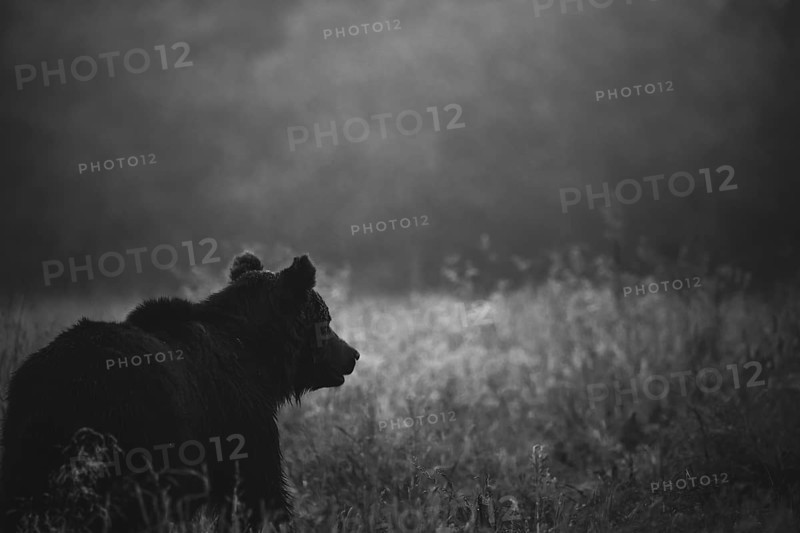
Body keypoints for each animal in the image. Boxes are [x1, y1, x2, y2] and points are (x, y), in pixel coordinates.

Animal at [0, 252, 359, 532]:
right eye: (326, 320)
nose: (352, 354)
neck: (260, 358)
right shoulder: (239, 415)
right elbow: (258, 488)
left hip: (29, 441)